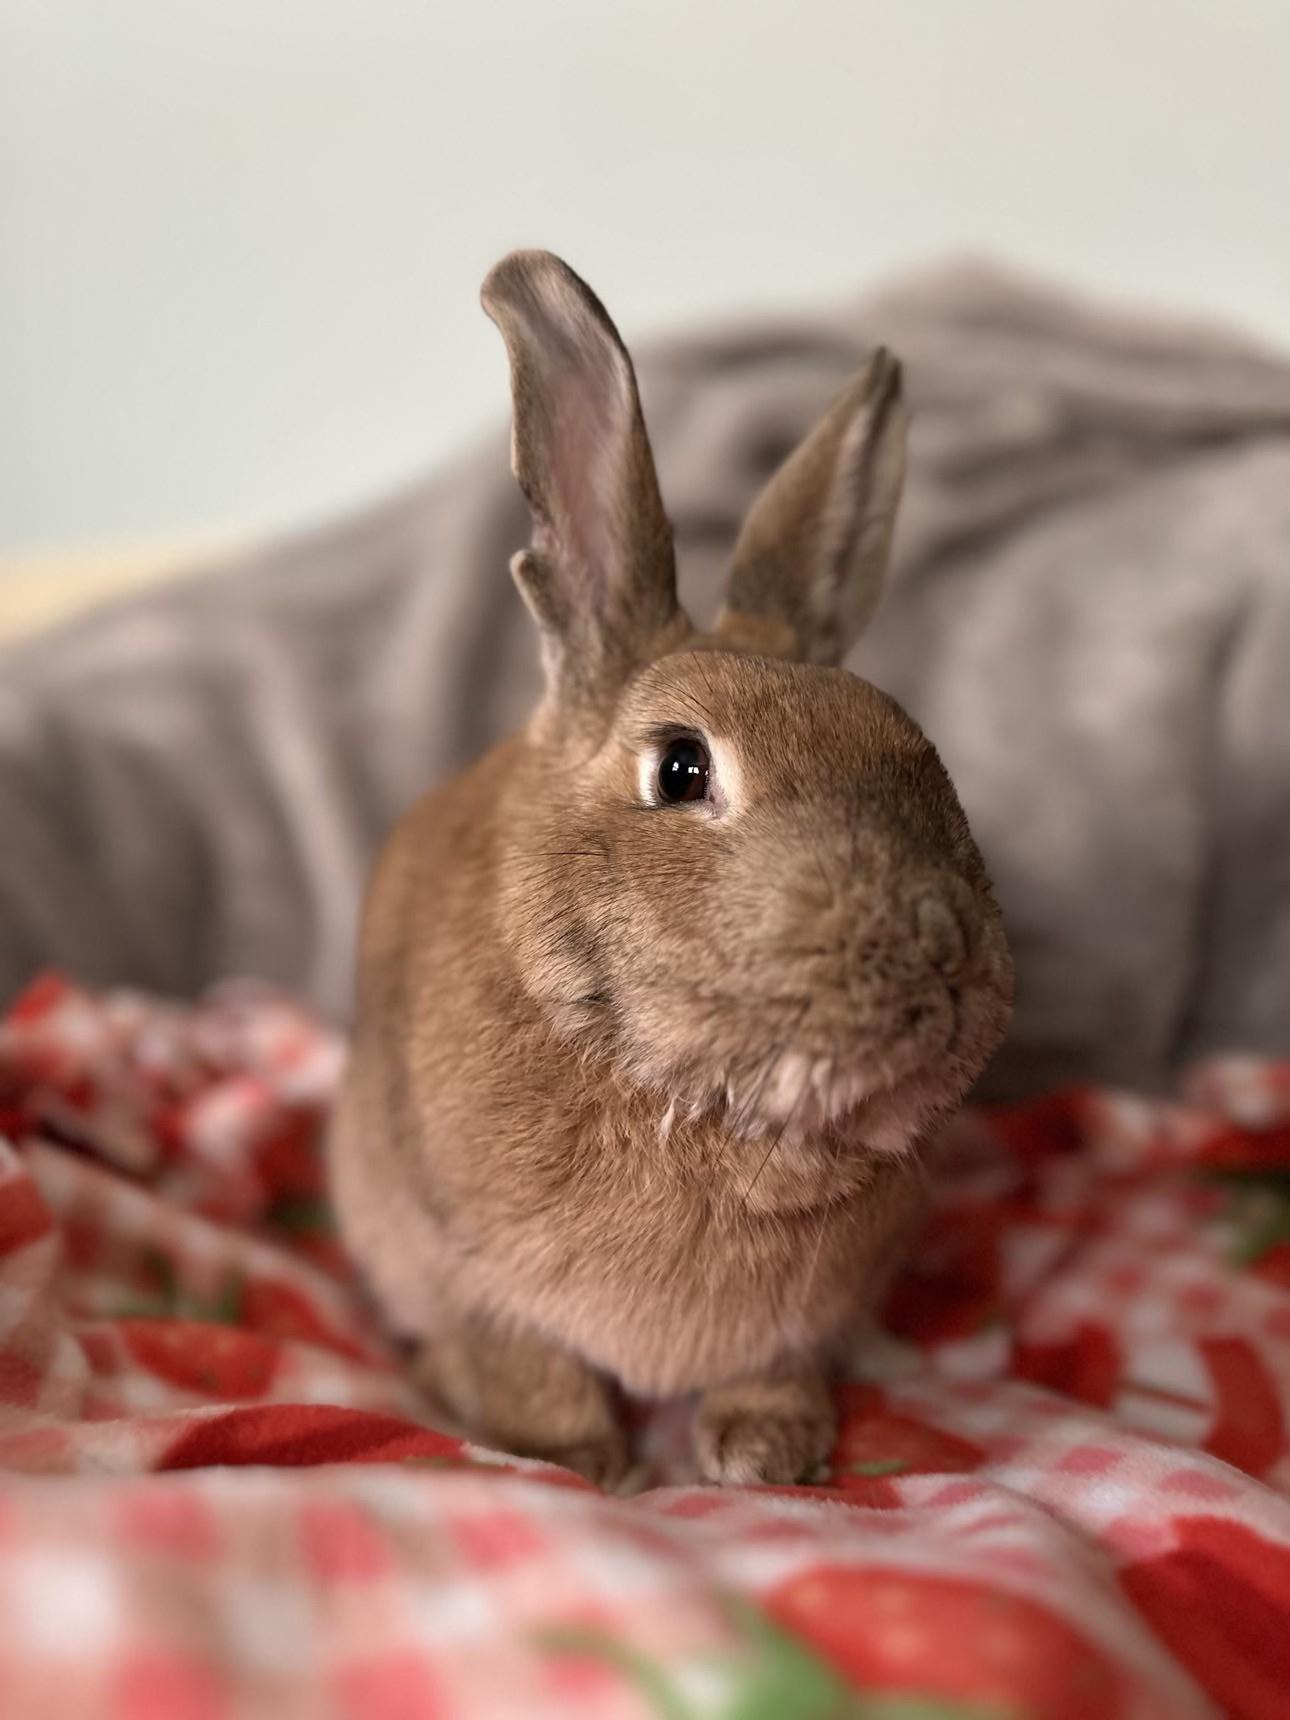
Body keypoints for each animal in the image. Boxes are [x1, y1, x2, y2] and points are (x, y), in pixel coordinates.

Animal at [328, 250, 1013, 1489]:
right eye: (682, 767)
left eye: (918, 744)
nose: (942, 950)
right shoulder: (474, 1281)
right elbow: (528, 1372)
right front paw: (585, 1465)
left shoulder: (805, 1318)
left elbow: (775, 1368)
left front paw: (767, 1454)